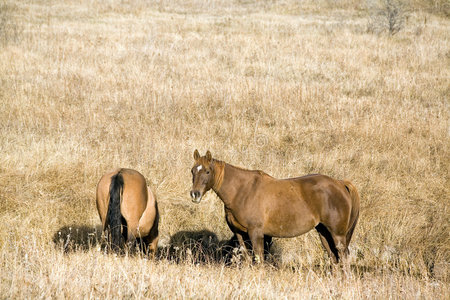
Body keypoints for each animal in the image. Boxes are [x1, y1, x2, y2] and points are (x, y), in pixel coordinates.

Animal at [189, 150, 358, 262]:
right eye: (192, 171)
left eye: (207, 171)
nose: (195, 194)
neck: (242, 191)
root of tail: (340, 183)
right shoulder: (240, 234)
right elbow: (248, 259)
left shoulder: (256, 233)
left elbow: (259, 260)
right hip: (324, 233)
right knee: (334, 258)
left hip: (337, 235)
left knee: (343, 257)